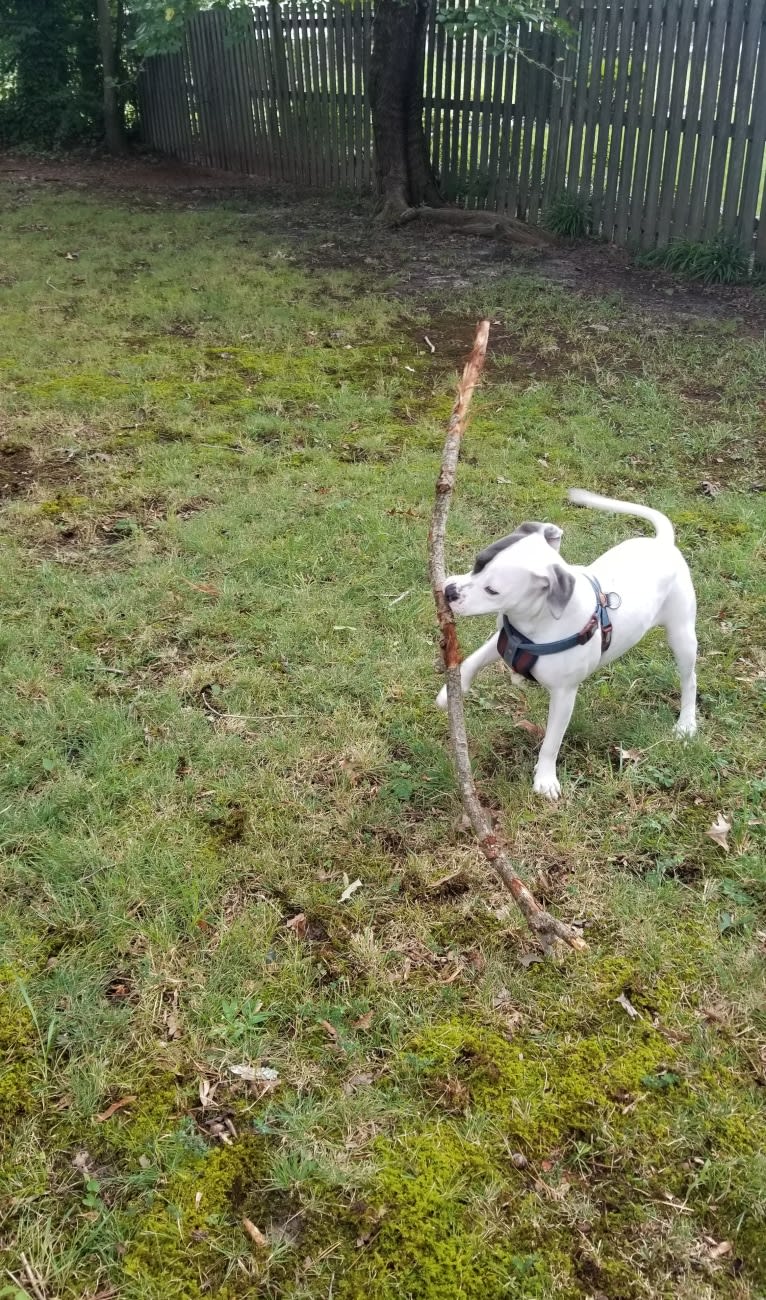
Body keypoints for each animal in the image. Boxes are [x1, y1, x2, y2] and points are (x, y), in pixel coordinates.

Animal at [434, 488, 697, 795]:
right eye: (478, 562)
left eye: (492, 590)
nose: (450, 591)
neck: (536, 620)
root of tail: (663, 544)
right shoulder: (504, 640)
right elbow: (472, 661)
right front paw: (450, 692)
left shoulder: (564, 695)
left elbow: (552, 741)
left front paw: (545, 778)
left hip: (682, 635)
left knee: (689, 680)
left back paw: (687, 724)